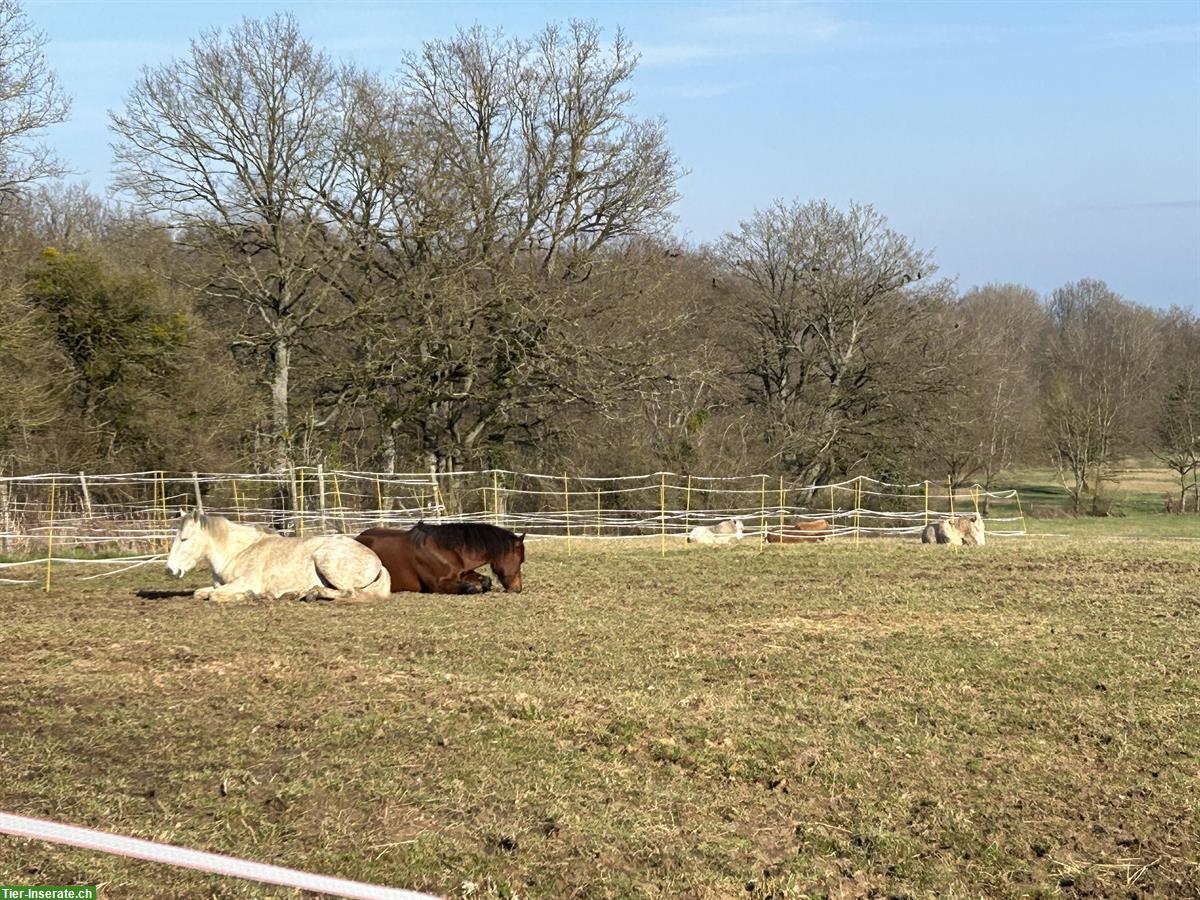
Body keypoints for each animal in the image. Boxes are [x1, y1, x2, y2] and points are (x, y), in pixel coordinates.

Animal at [166, 511, 391, 602]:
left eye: (184, 539)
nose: (169, 570)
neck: (236, 552)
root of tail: (378, 562)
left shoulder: (243, 583)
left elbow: (215, 596)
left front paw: (252, 596)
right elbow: (201, 593)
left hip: (326, 560)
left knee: (348, 592)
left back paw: (312, 594)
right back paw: (296, 594)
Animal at [352, 520, 528, 600]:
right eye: (519, 560)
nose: (517, 588)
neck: (444, 549)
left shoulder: (462, 572)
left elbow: (485, 581)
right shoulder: (437, 584)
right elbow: (471, 588)